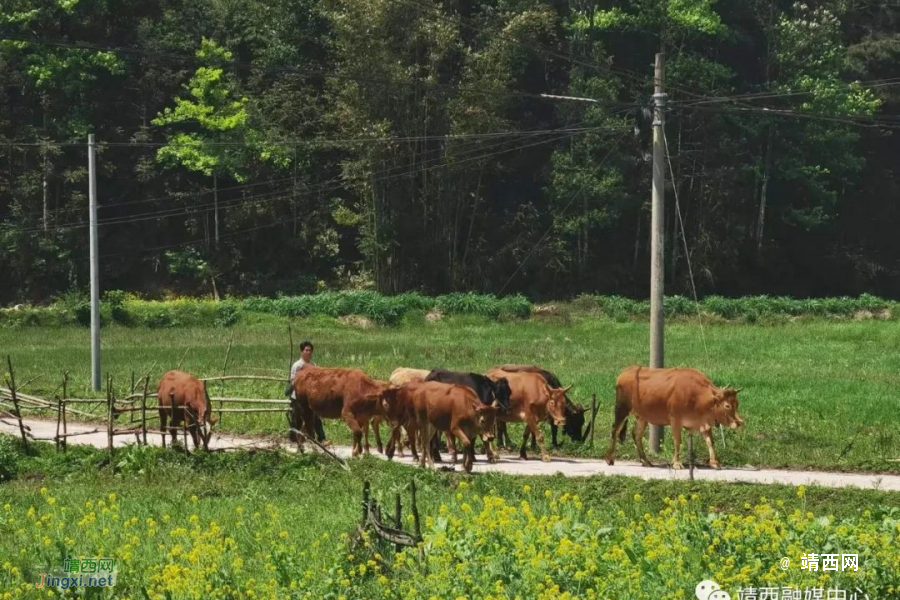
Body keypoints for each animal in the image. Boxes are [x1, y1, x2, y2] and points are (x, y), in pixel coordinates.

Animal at [604, 364, 744, 472]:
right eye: (727, 405)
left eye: (737, 404)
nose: (739, 422)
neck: (697, 396)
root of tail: (626, 371)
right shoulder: (675, 420)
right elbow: (677, 441)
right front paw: (677, 463)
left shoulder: (703, 422)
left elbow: (710, 441)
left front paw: (714, 462)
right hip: (622, 408)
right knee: (615, 430)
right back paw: (610, 458)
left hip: (642, 416)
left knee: (636, 434)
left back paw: (645, 460)